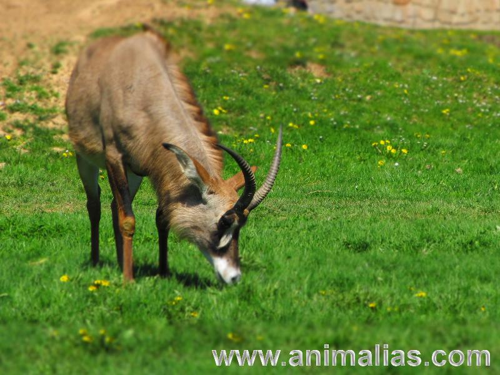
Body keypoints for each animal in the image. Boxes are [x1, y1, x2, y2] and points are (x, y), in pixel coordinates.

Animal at [65, 26, 284, 284]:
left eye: (242, 224)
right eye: (224, 221)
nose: (234, 277)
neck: (142, 89)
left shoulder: (158, 170)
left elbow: (161, 218)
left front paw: (163, 271)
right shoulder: (114, 158)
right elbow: (128, 220)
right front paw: (129, 281)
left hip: (134, 173)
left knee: (113, 205)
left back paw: (121, 262)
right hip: (86, 159)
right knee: (95, 204)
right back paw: (97, 261)